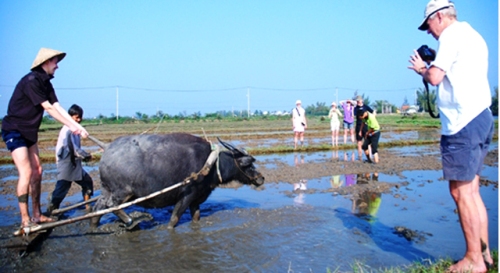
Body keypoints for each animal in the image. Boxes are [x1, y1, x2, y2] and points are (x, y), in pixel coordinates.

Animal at [89, 132, 264, 227]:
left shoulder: (196, 199)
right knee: (112, 206)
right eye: (248, 164)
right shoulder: (186, 195)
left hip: (106, 190)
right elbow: (174, 219)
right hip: (123, 192)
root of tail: (107, 148)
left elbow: (196, 217)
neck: (212, 164)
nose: (261, 178)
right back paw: (131, 221)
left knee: (98, 208)